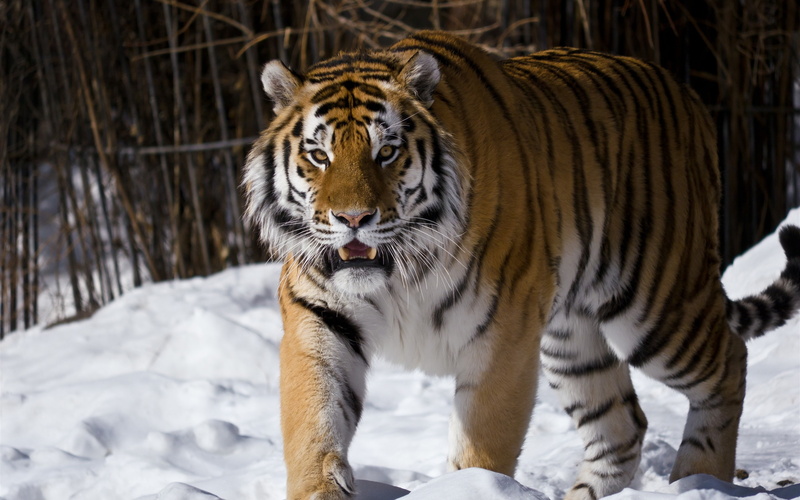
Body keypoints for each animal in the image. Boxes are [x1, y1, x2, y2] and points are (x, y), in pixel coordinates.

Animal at [243, 31, 800, 500]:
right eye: (319, 155)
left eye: (387, 152)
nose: (354, 218)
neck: (400, 271)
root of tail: (690, 97)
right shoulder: (319, 318)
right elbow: (313, 422)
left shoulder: (503, 332)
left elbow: (483, 444)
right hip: (571, 337)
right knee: (621, 426)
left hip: (656, 303)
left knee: (729, 362)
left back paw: (699, 480)